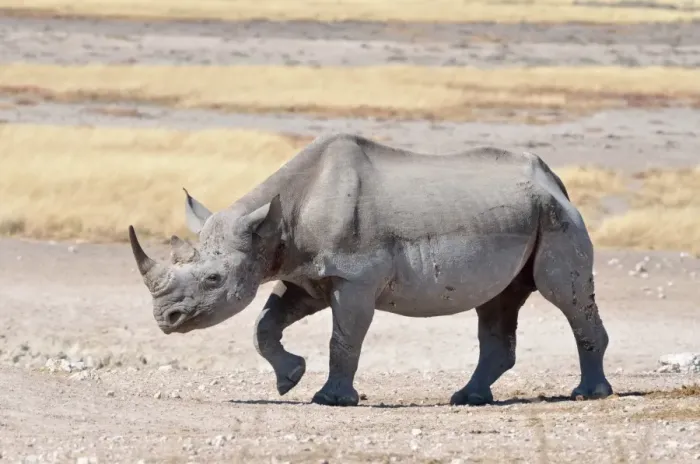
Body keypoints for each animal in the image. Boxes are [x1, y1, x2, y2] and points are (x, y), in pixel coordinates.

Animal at [128, 133, 613, 407]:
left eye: (213, 280)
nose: (165, 318)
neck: (275, 226)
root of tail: (554, 180)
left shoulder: (354, 276)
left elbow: (344, 338)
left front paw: (331, 400)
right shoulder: (306, 276)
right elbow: (265, 323)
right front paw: (289, 380)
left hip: (556, 217)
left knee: (563, 294)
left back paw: (589, 395)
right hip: (520, 214)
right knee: (497, 302)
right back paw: (468, 399)